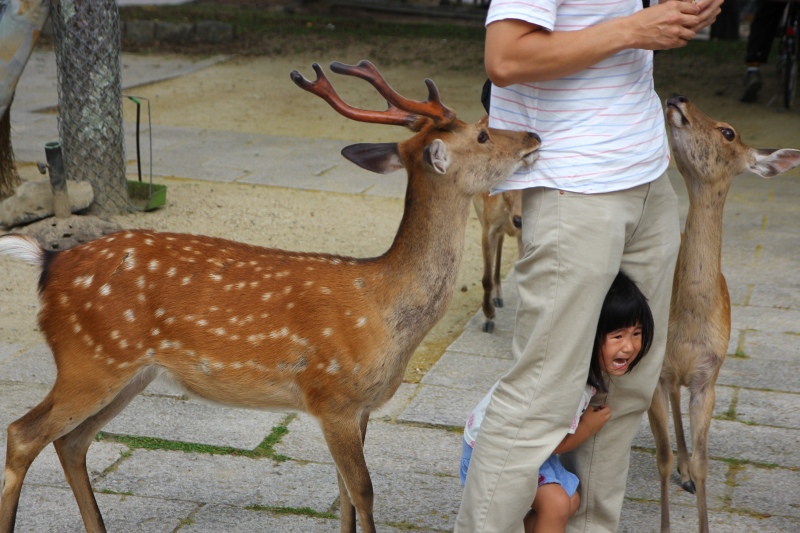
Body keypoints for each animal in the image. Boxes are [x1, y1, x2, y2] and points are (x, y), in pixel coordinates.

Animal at [648, 95, 800, 532]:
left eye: (728, 131)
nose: (678, 98)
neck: (688, 327)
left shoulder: (708, 378)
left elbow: (703, 464)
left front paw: (693, 480)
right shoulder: (655, 372)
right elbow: (662, 457)